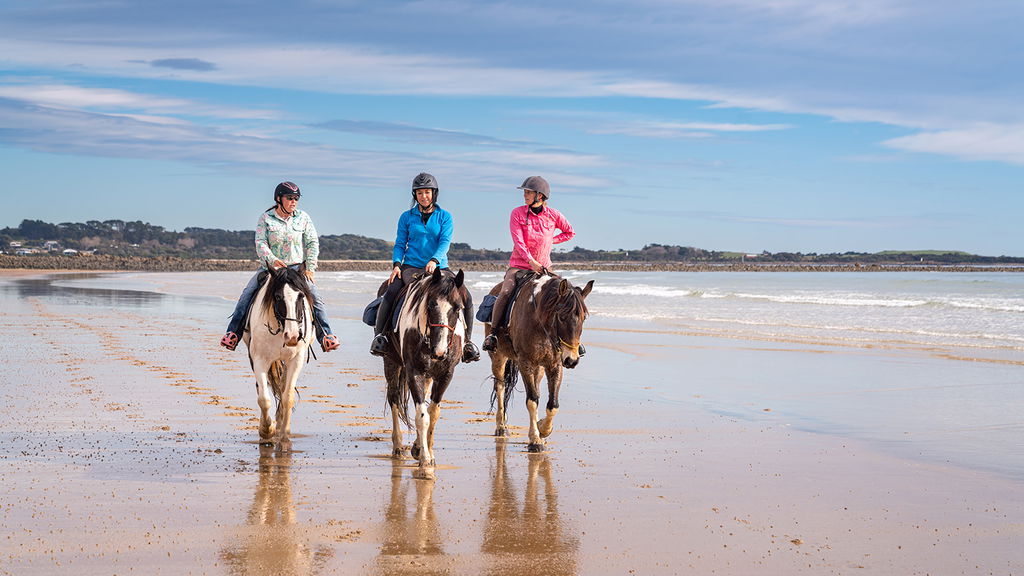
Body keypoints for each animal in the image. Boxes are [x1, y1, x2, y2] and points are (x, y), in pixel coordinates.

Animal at [241, 266, 314, 446]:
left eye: (301, 296)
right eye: (278, 296)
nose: (293, 336)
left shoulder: (296, 360)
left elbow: (288, 396)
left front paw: (284, 434)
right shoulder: (259, 360)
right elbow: (264, 399)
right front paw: (267, 431)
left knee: (282, 387)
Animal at [378, 267, 470, 476]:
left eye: (458, 308)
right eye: (430, 304)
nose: (440, 351)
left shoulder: (445, 375)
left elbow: (432, 413)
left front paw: (425, 451)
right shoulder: (414, 372)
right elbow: (422, 416)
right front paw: (425, 464)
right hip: (391, 362)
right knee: (394, 399)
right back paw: (398, 446)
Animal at [485, 271, 594, 452]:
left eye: (584, 318)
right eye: (561, 317)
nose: (572, 360)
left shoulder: (554, 365)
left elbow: (553, 404)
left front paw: (543, 428)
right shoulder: (526, 363)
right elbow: (532, 400)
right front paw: (535, 439)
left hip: (539, 368)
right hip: (498, 357)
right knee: (500, 386)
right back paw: (501, 427)